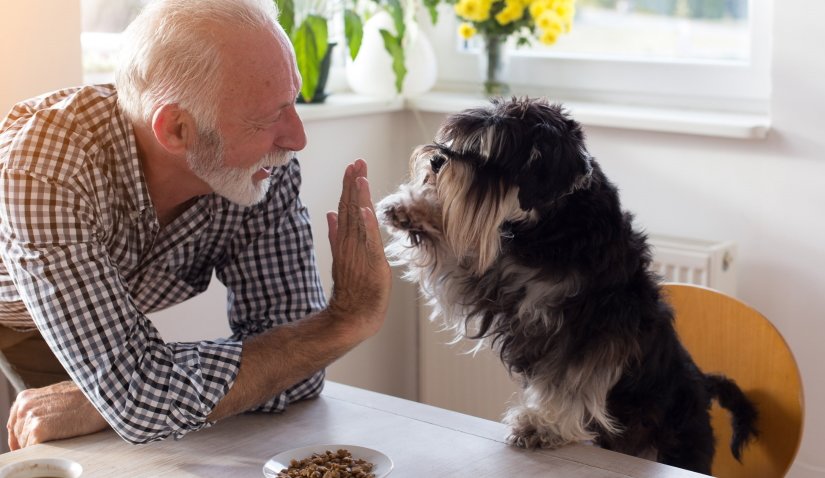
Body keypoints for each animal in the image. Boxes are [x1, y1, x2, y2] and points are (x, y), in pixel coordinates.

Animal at [376, 95, 756, 472]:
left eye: (491, 153)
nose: (436, 159)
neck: (553, 227)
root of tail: (703, 384)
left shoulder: (590, 330)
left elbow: (569, 382)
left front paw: (542, 426)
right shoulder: (493, 283)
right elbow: (456, 256)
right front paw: (410, 208)